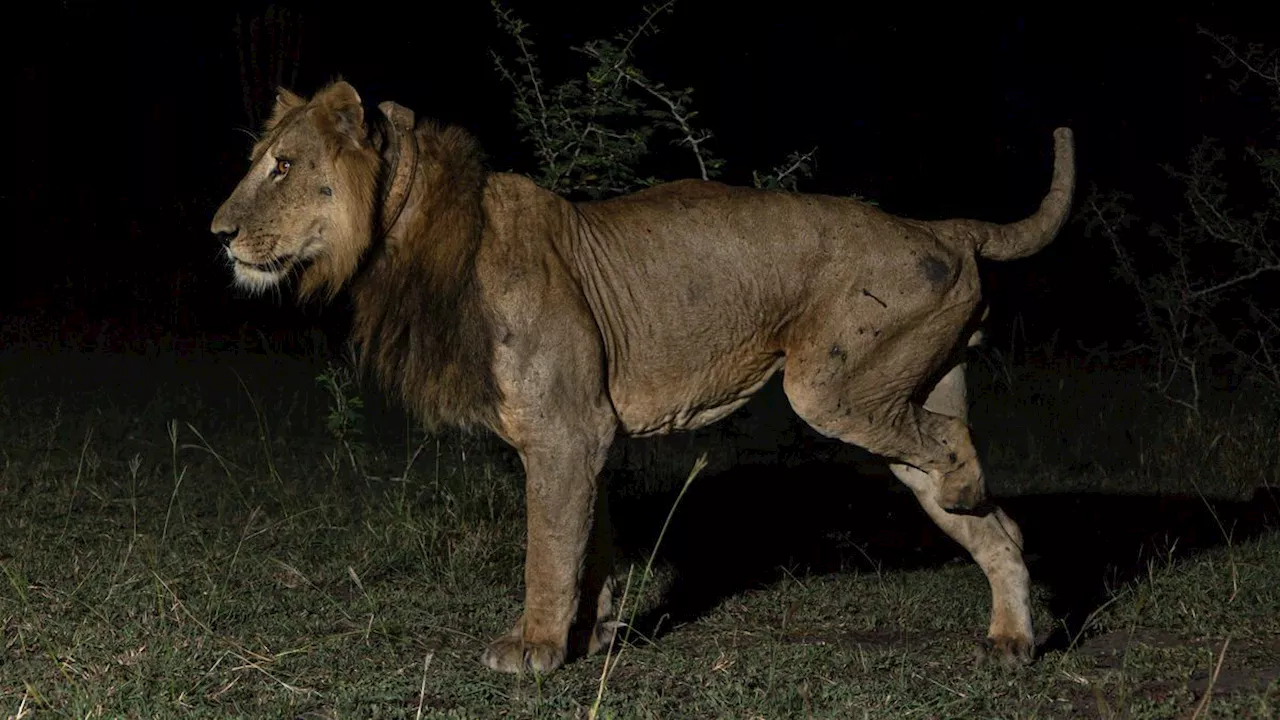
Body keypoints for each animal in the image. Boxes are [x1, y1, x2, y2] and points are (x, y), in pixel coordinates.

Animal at [209, 79, 1070, 671]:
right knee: (998, 524)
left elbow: (548, 547)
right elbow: (589, 542)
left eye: (283, 166)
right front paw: (592, 633)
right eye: (258, 163)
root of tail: (940, 226)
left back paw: (969, 494)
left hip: (833, 387)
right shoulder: (584, 435)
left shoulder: (566, 431)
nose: (218, 234)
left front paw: (534, 647)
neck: (409, 233)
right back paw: (1010, 639)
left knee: (955, 447)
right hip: (898, 392)